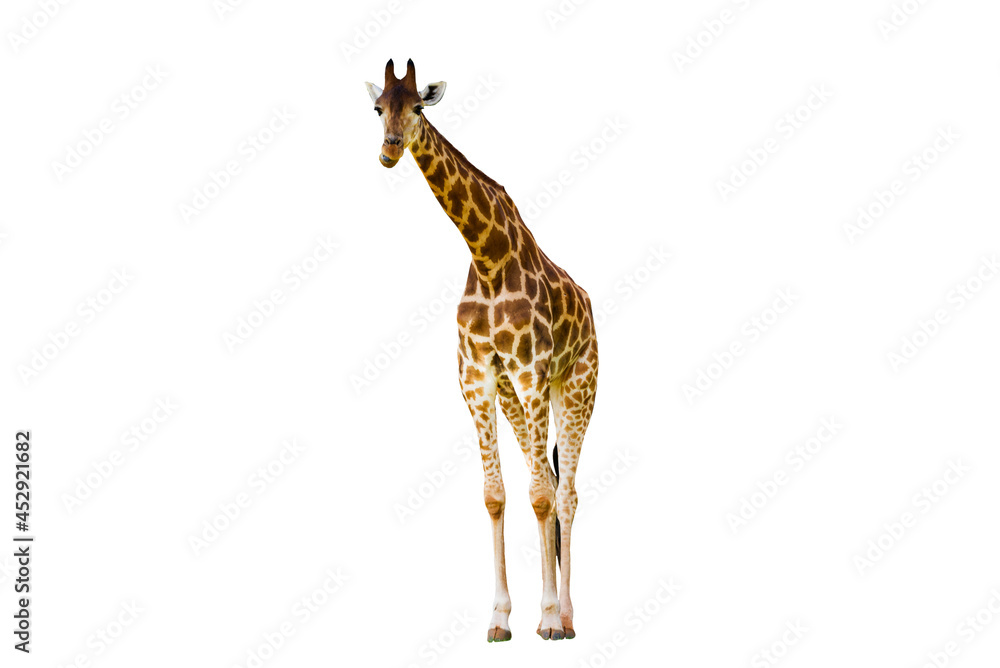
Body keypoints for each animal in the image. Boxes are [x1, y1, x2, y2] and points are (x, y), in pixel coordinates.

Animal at [366, 59, 598, 642]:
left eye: (418, 106)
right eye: (378, 108)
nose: (390, 150)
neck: (487, 255)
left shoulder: (531, 369)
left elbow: (540, 495)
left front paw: (545, 618)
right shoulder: (477, 375)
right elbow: (497, 495)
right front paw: (499, 618)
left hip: (576, 385)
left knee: (566, 491)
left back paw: (567, 616)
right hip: (525, 394)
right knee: (552, 481)